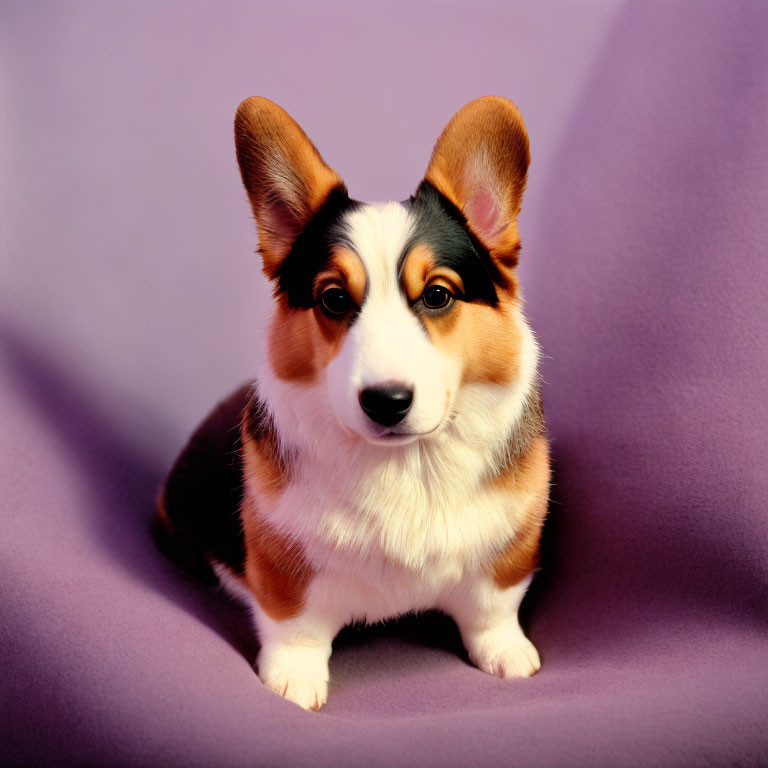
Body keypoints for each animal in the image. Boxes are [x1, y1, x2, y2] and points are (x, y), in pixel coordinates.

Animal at [156, 94, 548, 708]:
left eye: (438, 295)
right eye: (334, 300)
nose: (387, 402)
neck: (408, 463)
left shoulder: (508, 552)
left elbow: (493, 608)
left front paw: (508, 653)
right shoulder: (284, 566)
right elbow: (295, 625)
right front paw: (293, 680)